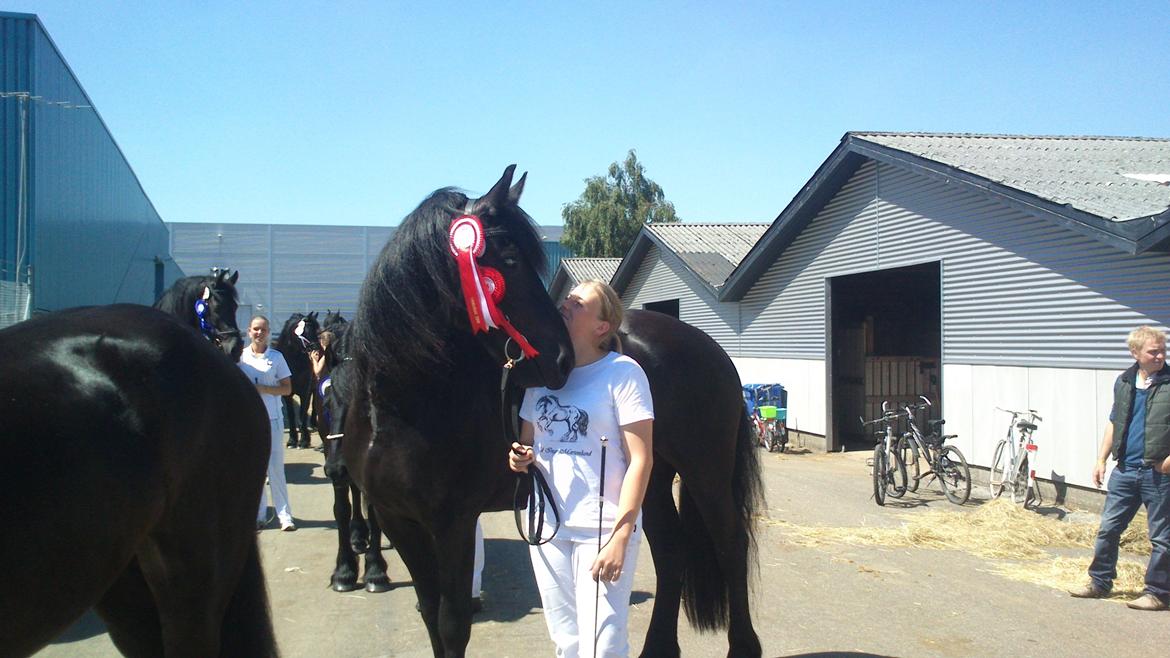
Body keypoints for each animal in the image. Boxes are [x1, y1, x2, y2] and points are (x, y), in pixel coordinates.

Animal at [277, 309, 322, 447]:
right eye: (306, 330)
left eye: (317, 331)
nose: (317, 349)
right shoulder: (287, 393)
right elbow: (291, 414)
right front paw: (292, 440)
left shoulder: (304, 391)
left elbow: (302, 412)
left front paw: (304, 440)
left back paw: (314, 423)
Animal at [343, 166, 767, 650]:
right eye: (509, 260)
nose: (561, 359)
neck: (398, 411)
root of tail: (710, 348)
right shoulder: (399, 520)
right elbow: (432, 614)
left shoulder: (453, 523)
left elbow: (452, 623)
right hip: (650, 478)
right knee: (672, 551)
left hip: (705, 472)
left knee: (731, 545)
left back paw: (744, 645)